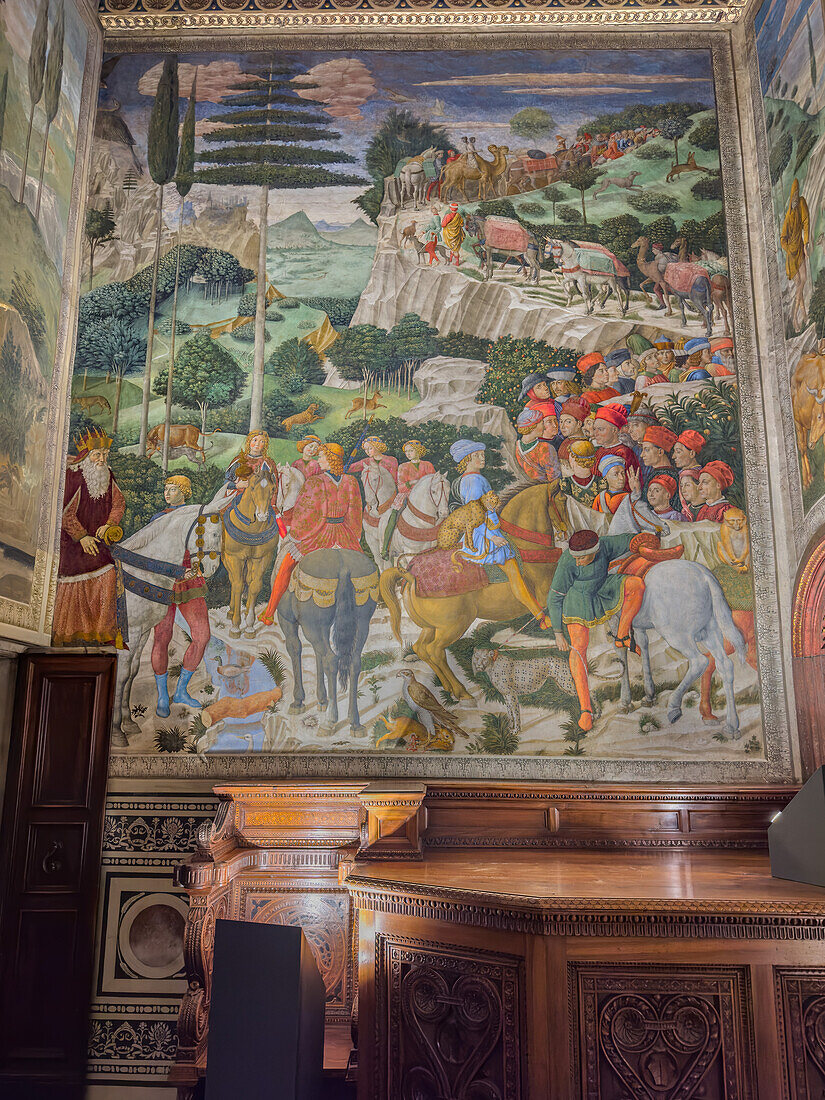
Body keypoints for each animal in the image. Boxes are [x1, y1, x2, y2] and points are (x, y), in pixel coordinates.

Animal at [113, 490, 227, 748]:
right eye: (215, 534)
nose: (211, 568)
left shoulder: (143, 632)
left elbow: (132, 672)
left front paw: (129, 723)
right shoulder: (129, 633)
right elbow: (122, 676)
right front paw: (116, 732)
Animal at [278, 547, 380, 734]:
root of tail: (344, 568)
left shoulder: (287, 622)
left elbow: (295, 649)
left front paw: (298, 701)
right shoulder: (323, 629)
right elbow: (318, 657)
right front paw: (322, 700)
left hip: (311, 627)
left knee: (331, 659)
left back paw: (330, 721)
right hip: (362, 623)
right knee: (354, 662)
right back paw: (355, 723)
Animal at [380, 486, 563, 699]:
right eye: (562, 499)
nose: (566, 531)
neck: (527, 547)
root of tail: (410, 576)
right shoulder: (545, 593)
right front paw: (548, 625)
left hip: (430, 627)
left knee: (421, 648)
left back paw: (448, 687)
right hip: (454, 626)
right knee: (435, 650)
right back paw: (461, 691)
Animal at [607, 497, 748, 739]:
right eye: (645, 508)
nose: (665, 528)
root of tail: (705, 577)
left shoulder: (617, 621)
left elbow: (622, 654)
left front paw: (625, 702)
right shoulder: (638, 625)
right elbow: (643, 648)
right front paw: (649, 695)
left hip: (678, 635)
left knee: (699, 662)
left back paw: (674, 707)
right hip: (709, 632)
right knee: (725, 666)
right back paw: (732, 726)